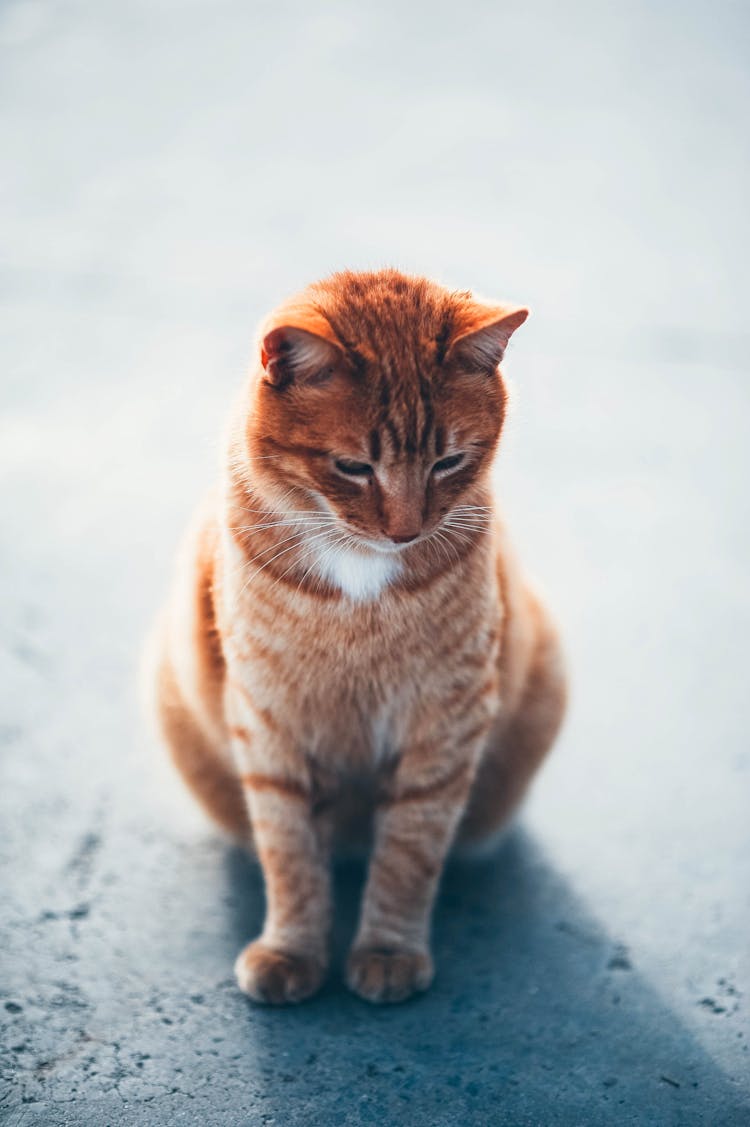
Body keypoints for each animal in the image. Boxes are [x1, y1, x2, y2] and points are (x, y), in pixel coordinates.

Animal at [148, 270, 563, 1005]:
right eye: (352, 467)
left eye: (449, 461)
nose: (405, 530)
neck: (359, 577)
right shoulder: (267, 717)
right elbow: (288, 850)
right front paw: (290, 950)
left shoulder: (445, 720)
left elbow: (408, 851)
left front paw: (388, 951)